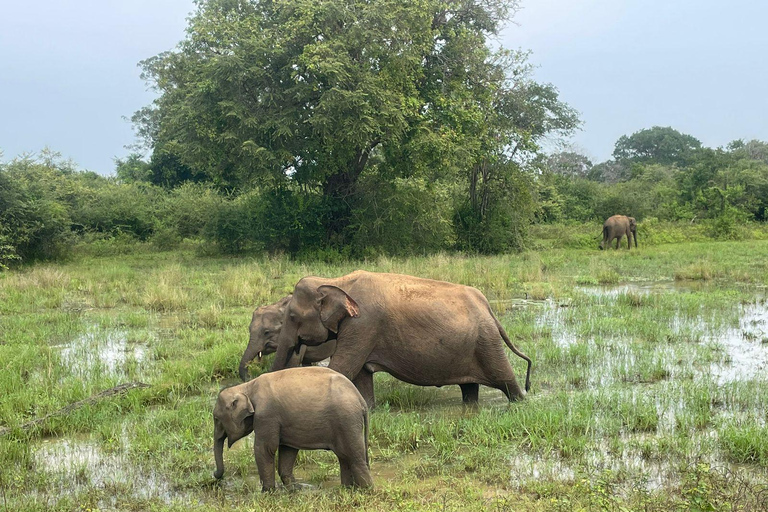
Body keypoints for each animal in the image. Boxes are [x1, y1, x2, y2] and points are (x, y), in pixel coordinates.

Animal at [214, 366, 374, 490]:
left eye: (216, 418)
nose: (215, 475)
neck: (246, 387)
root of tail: (361, 400)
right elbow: (287, 449)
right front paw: (293, 489)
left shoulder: (266, 416)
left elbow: (265, 449)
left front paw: (267, 492)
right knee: (344, 457)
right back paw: (346, 489)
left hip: (347, 421)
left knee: (354, 457)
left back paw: (366, 491)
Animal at [268, 270, 532, 406]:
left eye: (292, 316)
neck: (335, 281)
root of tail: (487, 306)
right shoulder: (360, 331)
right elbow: (361, 375)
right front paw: (369, 410)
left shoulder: (362, 325)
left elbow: (342, 369)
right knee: (469, 389)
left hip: (487, 342)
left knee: (505, 379)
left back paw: (522, 402)